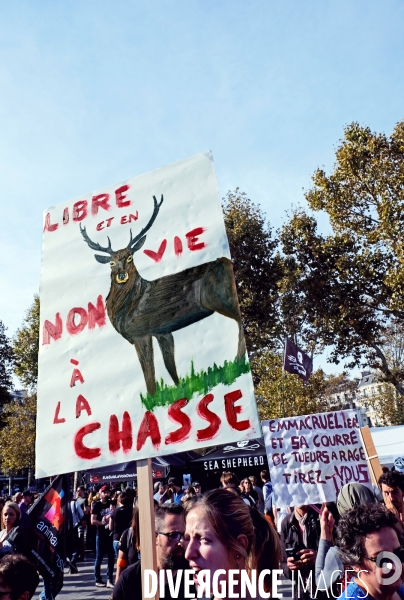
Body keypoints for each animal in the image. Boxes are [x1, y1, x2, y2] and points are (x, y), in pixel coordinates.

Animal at [77, 195, 245, 396]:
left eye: (130, 257)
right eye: (111, 263)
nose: (121, 275)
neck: (127, 308)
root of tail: (226, 261)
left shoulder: (140, 331)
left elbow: (148, 371)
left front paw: (153, 398)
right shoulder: (162, 331)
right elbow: (169, 364)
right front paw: (180, 390)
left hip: (220, 297)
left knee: (240, 322)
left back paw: (238, 362)